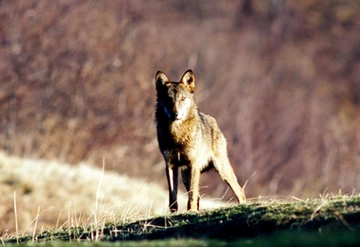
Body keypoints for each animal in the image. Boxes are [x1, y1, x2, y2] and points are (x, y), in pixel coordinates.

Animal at [153, 70, 246, 212]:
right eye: (169, 99)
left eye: (182, 98)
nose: (175, 114)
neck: (176, 135)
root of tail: (213, 120)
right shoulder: (170, 165)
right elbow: (172, 196)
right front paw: (173, 214)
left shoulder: (193, 164)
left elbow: (191, 195)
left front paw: (190, 211)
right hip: (186, 175)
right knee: (198, 196)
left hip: (221, 169)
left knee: (240, 191)